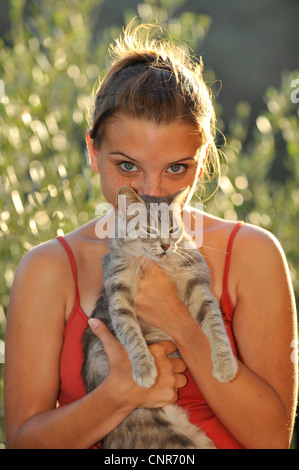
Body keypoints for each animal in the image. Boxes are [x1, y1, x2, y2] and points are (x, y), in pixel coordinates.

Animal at [82, 185, 239, 450]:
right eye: (149, 230)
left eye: (173, 229)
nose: (165, 245)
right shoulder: (118, 293)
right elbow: (129, 332)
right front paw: (144, 368)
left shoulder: (196, 284)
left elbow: (216, 325)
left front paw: (225, 364)